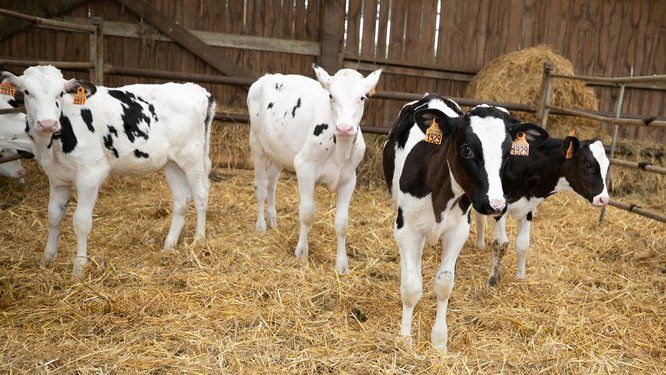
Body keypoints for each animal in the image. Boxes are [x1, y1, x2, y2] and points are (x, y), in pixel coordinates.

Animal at [2, 65, 214, 276]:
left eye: (60, 93)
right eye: (27, 92)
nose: (47, 123)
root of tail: (197, 89)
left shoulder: (90, 174)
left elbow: (81, 222)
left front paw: (79, 266)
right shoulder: (57, 177)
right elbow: (53, 216)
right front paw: (47, 258)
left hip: (192, 157)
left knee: (201, 195)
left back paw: (198, 240)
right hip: (171, 163)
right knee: (181, 200)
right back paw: (169, 244)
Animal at [245, 64, 382, 274]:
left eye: (362, 97)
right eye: (331, 96)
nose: (344, 128)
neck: (340, 149)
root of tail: (268, 76)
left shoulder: (349, 179)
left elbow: (342, 222)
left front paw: (342, 265)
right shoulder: (304, 167)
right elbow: (307, 213)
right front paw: (302, 253)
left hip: (278, 152)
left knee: (271, 184)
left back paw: (272, 220)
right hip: (256, 144)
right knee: (260, 187)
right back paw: (261, 225)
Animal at [382, 95, 548, 352]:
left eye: (508, 152)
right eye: (467, 149)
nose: (496, 204)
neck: (439, 192)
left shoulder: (457, 231)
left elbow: (444, 285)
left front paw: (439, 340)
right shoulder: (406, 228)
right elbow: (410, 287)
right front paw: (405, 338)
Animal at [472, 131, 608, 286]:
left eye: (607, 166)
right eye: (588, 165)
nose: (604, 199)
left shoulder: (529, 209)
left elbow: (523, 244)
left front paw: (520, 277)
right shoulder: (499, 208)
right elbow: (500, 244)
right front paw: (493, 279)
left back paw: (480, 244)